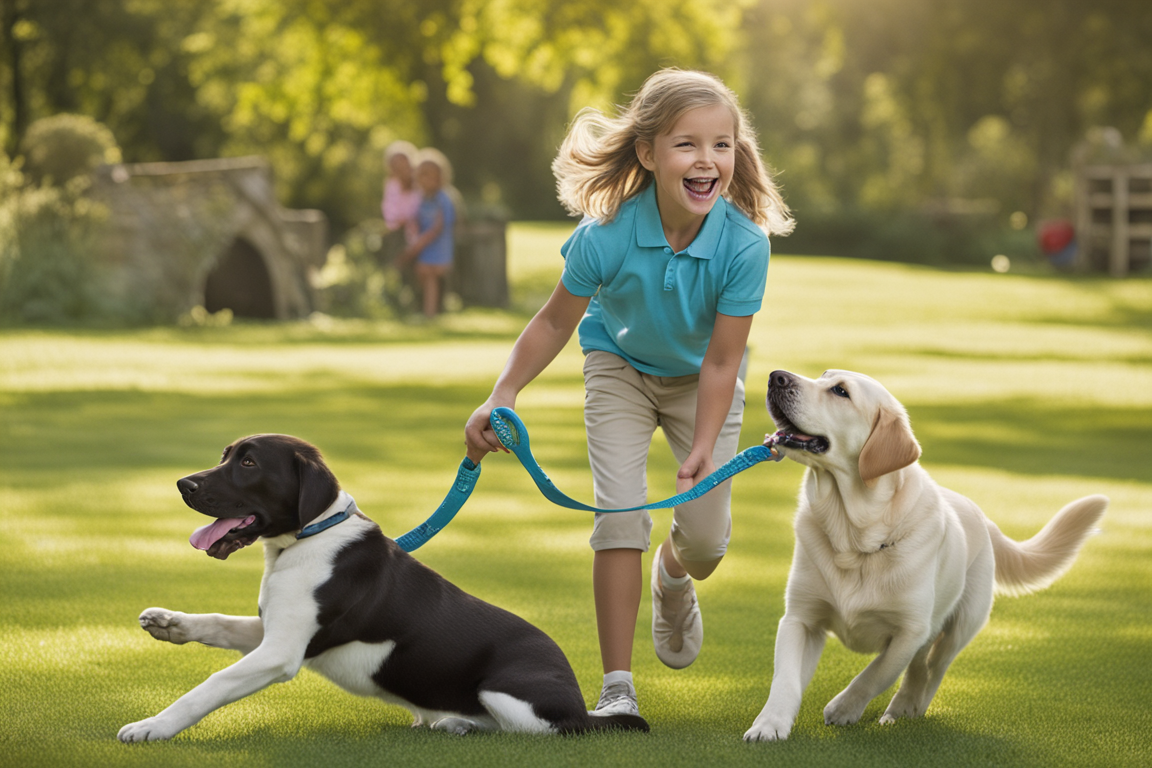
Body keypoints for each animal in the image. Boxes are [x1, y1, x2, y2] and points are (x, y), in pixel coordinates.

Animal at [116, 435, 649, 741]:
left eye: (248, 464)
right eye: (226, 456)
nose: (184, 485)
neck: (309, 537)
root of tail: (581, 707)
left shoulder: (281, 653)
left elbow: (208, 687)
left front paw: (151, 726)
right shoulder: (275, 631)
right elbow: (219, 624)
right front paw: (169, 623)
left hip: (506, 694)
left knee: (529, 732)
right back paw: (451, 721)